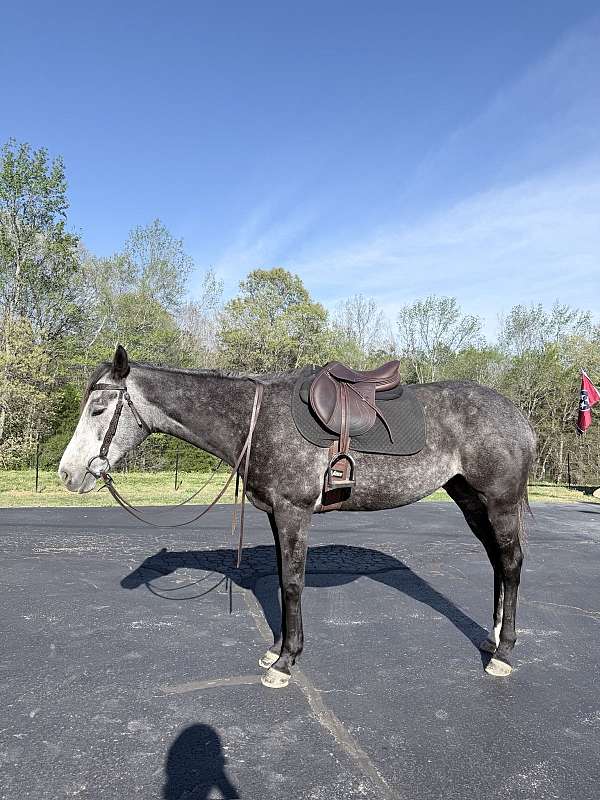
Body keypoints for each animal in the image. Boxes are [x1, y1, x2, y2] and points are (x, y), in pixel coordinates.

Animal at [59, 345, 536, 688]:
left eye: (98, 409)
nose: (68, 473)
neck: (255, 421)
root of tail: (518, 417)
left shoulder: (293, 512)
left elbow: (291, 583)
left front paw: (286, 662)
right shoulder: (276, 513)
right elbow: (280, 577)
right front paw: (276, 648)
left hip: (499, 502)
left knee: (511, 564)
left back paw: (504, 654)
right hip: (470, 500)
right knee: (497, 562)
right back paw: (493, 637)